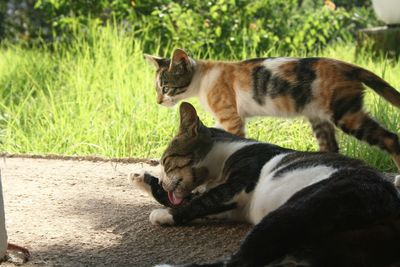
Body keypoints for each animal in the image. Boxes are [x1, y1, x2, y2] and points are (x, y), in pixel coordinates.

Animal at [131, 102, 400, 267]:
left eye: (166, 161)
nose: (163, 180)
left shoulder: (237, 185)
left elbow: (199, 201)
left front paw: (163, 214)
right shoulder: (230, 209)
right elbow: (194, 202)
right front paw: (144, 180)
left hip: (294, 212)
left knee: (238, 262)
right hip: (331, 248)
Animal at [145, 48, 400, 170]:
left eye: (166, 88)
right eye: (156, 88)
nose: (158, 101)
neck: (204, 77)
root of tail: (348, 65)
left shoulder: (231, 118)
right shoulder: (222, 120)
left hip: (346, 113)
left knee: (391, 138)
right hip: (319, 117)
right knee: (331, 147)